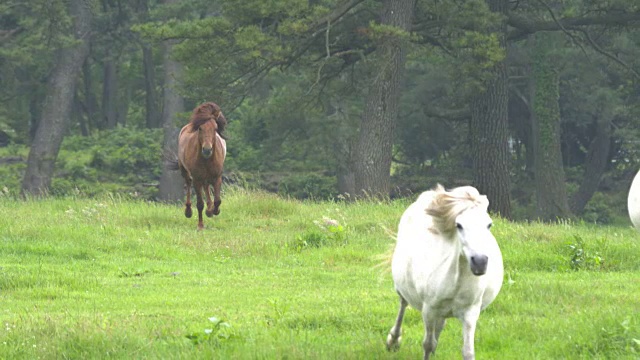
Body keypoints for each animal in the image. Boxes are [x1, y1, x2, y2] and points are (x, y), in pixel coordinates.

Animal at [388, 184, 502, 358]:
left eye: (489, 225)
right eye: (459, 225)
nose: (480, 262)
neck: (456, 280)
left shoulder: (470, 312)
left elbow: (468, 352)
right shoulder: (429, 310)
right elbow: (428, 344)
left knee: (440, 325)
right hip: (403, 289)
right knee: (403, 304)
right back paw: (393, 341)